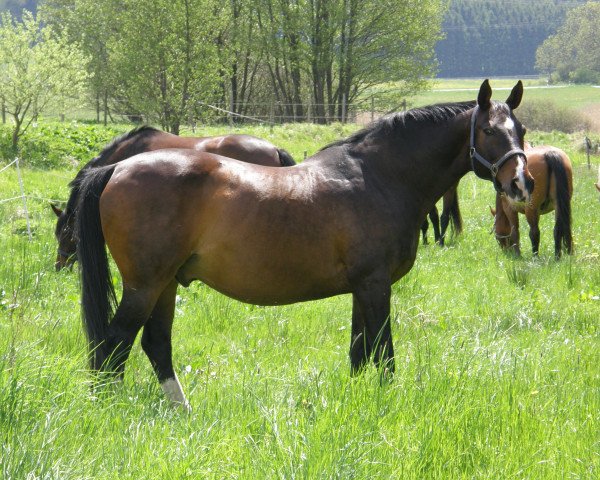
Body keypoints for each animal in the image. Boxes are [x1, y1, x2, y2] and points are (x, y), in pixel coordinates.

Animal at [76, 79, 536, 408]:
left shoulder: (361, 288)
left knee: (154, 343)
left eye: (522, 130)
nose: (521, 184)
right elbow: (383, 354)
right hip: (145, 286)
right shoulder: (375, 285)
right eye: (489, 130)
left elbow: (358, 353)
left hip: (167, 284)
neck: (379, 176)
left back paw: (182, 410)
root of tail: (118, 168)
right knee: (112, 347)